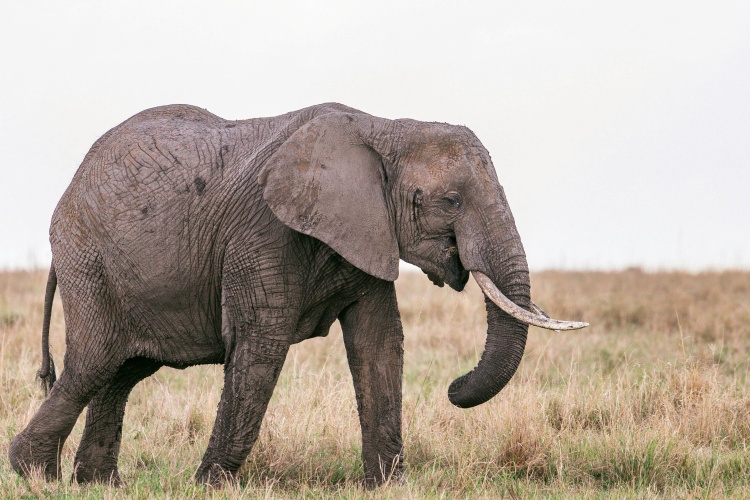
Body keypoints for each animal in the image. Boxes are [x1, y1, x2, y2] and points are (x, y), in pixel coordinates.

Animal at [9, 102, 586, 487]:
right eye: (450, 200)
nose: (453, 386)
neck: (383, 128)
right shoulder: (264, 232)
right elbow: (261, 346)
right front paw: (209, 485)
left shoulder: (365, 230)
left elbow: (379, 344)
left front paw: (387, 487)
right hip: (89, 261)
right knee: (94, 361)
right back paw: (34, 473)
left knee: (122, 371)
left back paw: (97, 484)